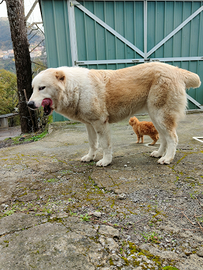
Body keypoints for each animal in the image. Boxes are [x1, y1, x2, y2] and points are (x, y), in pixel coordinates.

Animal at [27, 62, 201, 166]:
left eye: (42, 88)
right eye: (33, 88)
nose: (29, 104)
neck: (76, 88)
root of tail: (176, 70)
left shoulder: (100, 122)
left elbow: (105, 144)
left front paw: (105, 161)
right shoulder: (89, 124)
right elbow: (92, 143)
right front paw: (90, 157)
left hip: (161, 115)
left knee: (173, 138)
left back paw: (167, 158)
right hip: (156, 116)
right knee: (164, 137)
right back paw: (159, 154)